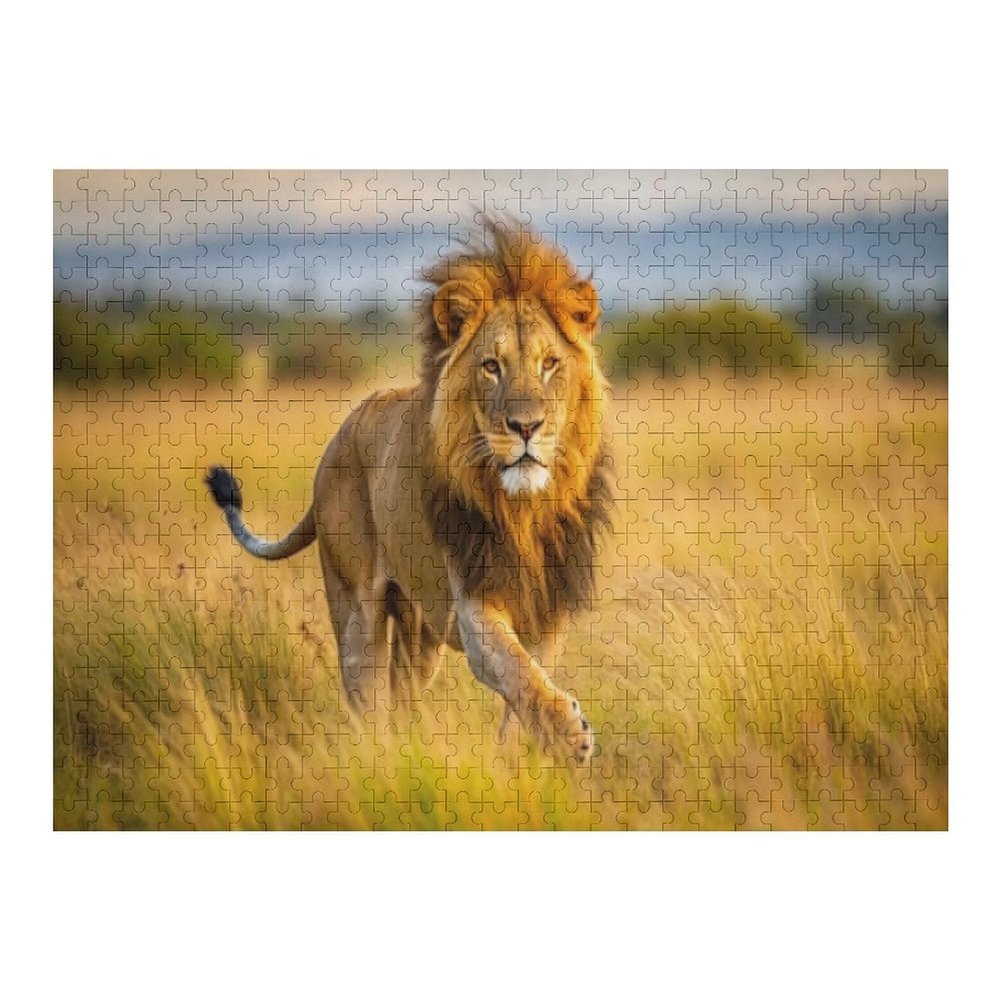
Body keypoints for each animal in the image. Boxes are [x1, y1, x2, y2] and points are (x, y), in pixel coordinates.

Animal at [206, 220, 614, 762]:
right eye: (491, 366)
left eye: (550, 363)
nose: (526, 427)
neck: (524, 508)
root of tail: (338, 439)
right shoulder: (474, 604)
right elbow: (515, 670)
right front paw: (569, 733)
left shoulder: (549, 608)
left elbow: (525, 686)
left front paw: (519, 757)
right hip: (357, 610)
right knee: (368, 700)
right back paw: (377, 761)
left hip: (420, 633)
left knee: (402, 696)